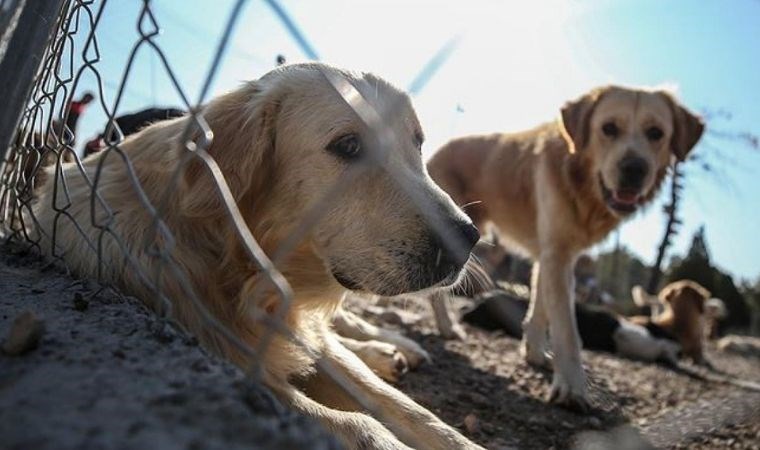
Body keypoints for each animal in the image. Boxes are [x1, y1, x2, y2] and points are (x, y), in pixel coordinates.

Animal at [32, 63, 484, 450]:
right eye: (349, 145)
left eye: (418, 144)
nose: (468, 239)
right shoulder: (223, 353)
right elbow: (358, 424)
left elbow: (415, 414)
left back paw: (393, 346)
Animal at [424, 85, 704, 412]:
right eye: (609, 128)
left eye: (656, 133)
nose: (634, 170)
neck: (581, 181)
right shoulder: (556, 255)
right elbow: (566, 328)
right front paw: (572, 385)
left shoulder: (553, 254)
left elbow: (540, 309)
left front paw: (535, 354)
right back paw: (446, 326)